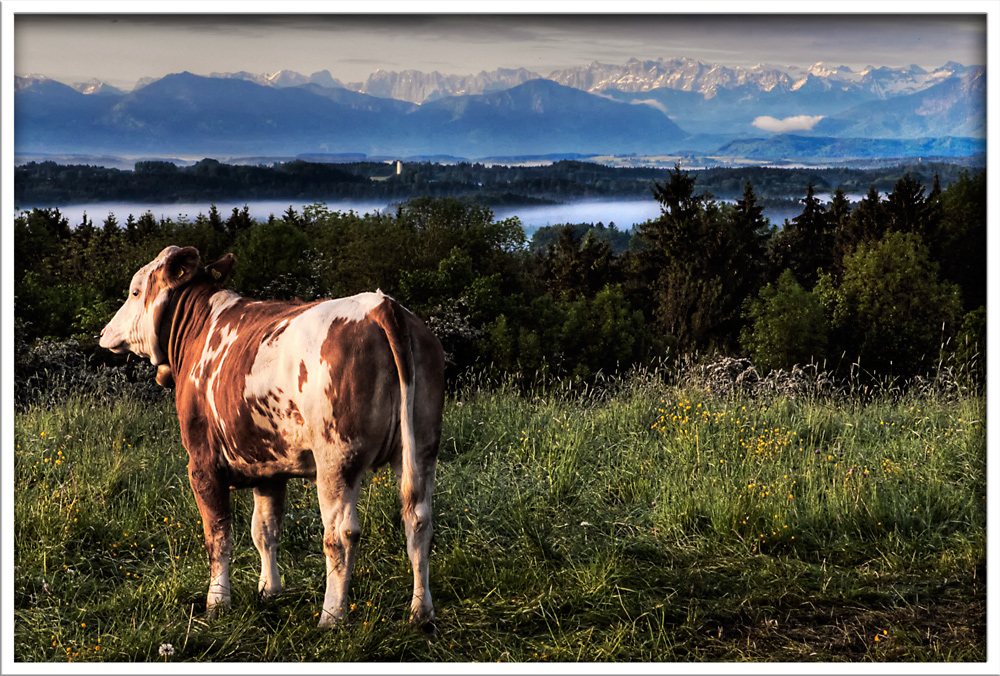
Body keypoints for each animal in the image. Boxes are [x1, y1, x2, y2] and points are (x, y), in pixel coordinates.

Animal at [98, 246, 446, 632]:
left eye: (134, 291)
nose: (104, 331)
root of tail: (380, 304)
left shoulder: (202, 462)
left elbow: (218, 535)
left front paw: (217, 602)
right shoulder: (268, 465)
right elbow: (265, 530)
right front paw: (270, 590)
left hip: (336, 458)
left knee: (340, 535)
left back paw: (331, 616)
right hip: (422, 447)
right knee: (418, 522)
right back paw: (421, 612)